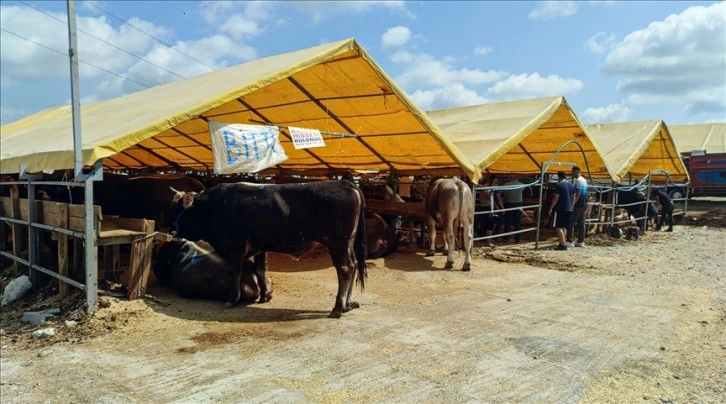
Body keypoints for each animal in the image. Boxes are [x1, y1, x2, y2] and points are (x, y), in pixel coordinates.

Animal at [172, 181, 370, 318]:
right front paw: (265, 295)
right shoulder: (261, 247)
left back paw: (338, 308)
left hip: (338, 243)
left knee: (345, 269)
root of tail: (344, 183)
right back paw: (347, 304)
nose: (172, 229)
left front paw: (232, 300)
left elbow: (236, 272)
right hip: (348, 244)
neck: (214, 205)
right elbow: (260, 270)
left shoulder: (234, 246)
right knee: (353, 267)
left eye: (180, 209)